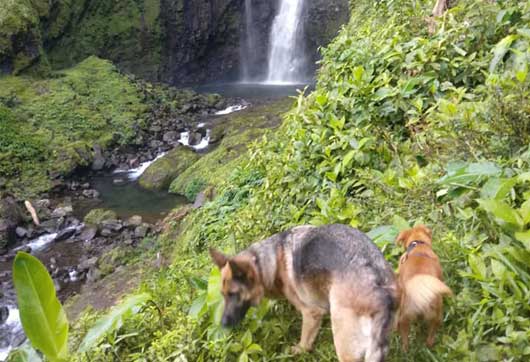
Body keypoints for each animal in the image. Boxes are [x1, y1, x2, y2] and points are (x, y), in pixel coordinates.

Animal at [208, 225, 394, 360]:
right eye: (223, 294)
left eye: (233, 294)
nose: (222, 324)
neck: (269, 262)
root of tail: (375, 281)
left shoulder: (311, 313)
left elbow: (305, 340)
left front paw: (299, 350)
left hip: (343, 343)